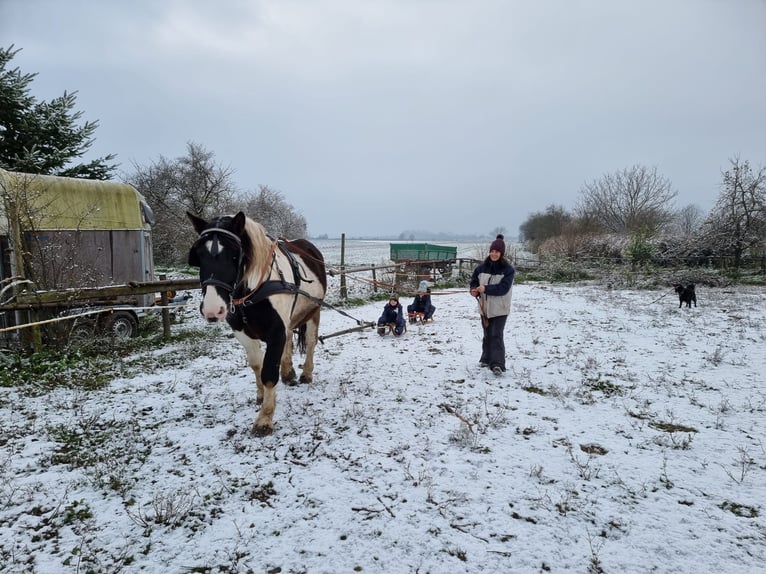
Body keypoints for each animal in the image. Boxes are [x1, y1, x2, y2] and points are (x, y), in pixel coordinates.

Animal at [187, 211, 327, 436]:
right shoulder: (242, 332)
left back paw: (306, 373)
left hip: (314, 311)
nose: (212, 309)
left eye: (235, 255)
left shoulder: (276, 331)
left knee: (311, 341)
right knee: (289, 337)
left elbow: (269, 372)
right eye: (199, 256)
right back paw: (288, 372)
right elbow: (256, 365)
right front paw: (262, 396)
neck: (252, 292)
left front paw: (264, 419)